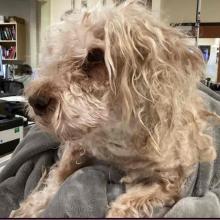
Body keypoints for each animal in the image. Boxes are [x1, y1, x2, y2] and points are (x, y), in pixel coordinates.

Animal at [9, 0, 216, 217]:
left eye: (94, 56)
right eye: (58, 55)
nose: (35, 101)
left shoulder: (172, 179)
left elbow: (126, 203)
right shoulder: (79, 146)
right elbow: (55, 181)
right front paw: (27, 209)